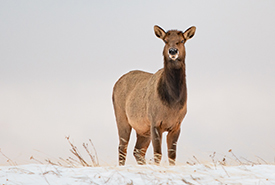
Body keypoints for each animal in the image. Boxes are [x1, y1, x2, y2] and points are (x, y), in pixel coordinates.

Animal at [112, 24, 196, 165]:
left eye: (182, 40)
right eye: (165, 41)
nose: (173, 51)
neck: (172, 102)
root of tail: (116, 84)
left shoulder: (177, 125)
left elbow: (172, 156)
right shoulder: (155, 122)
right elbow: (158, 154)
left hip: (143, 129)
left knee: (138, 150)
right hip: (122, 117)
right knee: (122, 148)